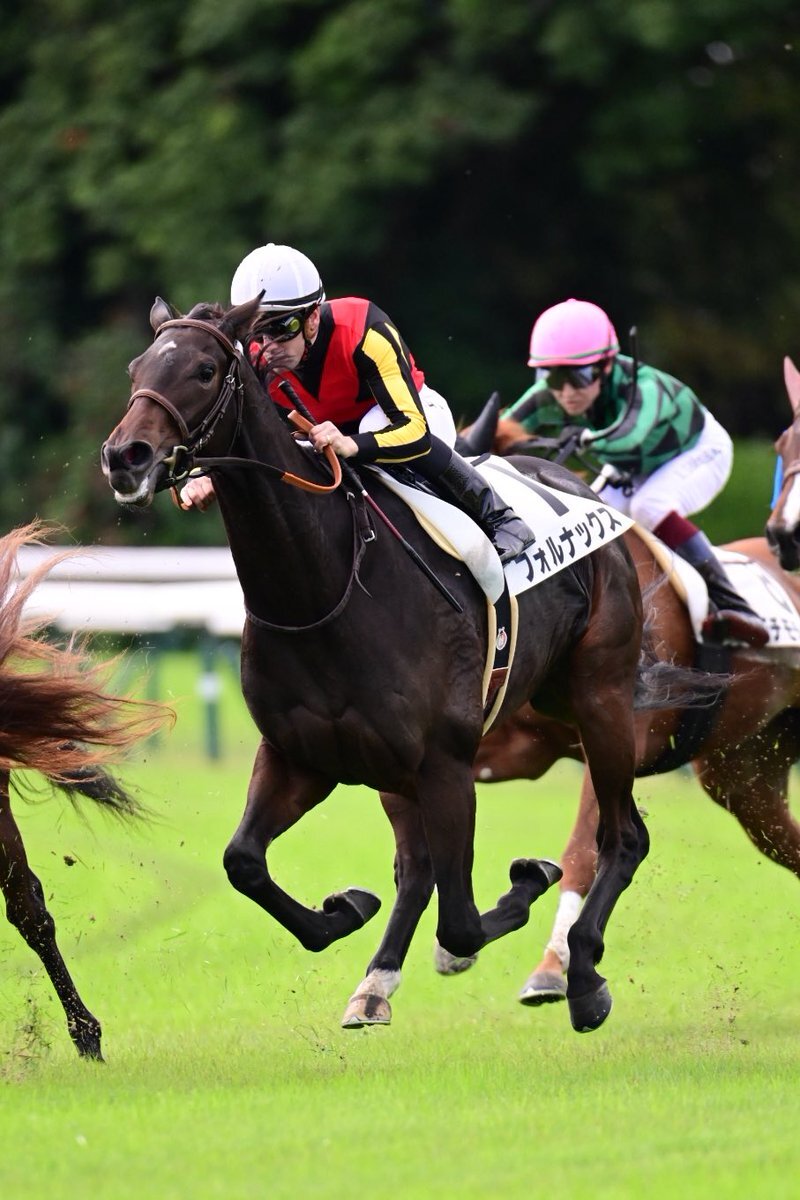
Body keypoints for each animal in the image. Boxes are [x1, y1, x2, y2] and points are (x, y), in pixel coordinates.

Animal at [99, 297, 712, 1034]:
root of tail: (586, 492)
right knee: (421, 866)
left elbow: (463, 924)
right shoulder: (299, 755)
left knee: (623, 836)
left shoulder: (446, 761)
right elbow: (243, 861)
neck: (324, 588)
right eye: (137, 367)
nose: (125, 456)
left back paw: (584, 978)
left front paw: (526, 883)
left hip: (602, 699)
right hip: (475, 734)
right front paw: (343, 910)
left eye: (204, 369)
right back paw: (378, 983)